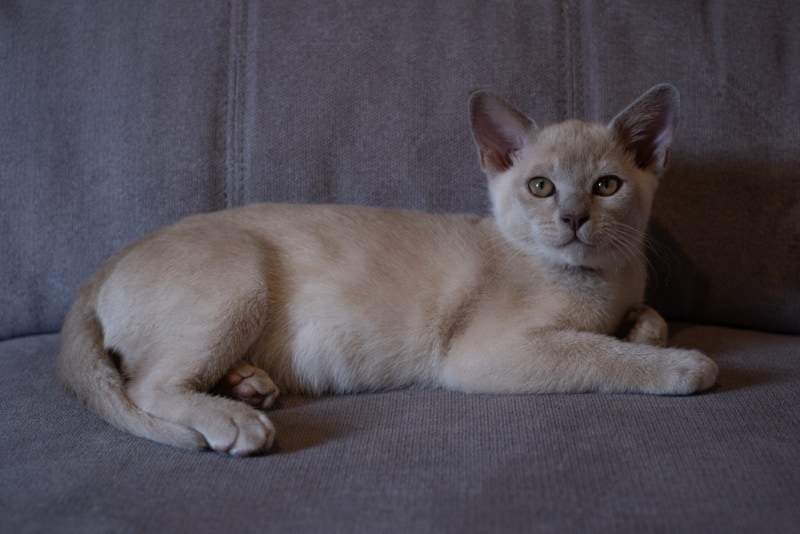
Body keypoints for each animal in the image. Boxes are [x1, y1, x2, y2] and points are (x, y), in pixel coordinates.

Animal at [56, 84, 720, 456]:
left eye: (606, 185)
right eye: (540, 186)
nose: (574, 217)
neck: (600, 278)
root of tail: (104, 264)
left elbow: (649, 321)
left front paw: (640, 329)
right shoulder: (487, 352)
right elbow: (601, 354)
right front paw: (683, 366)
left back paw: (247, 383)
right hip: (240, 280)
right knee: (145, 384)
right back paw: (236, 419)